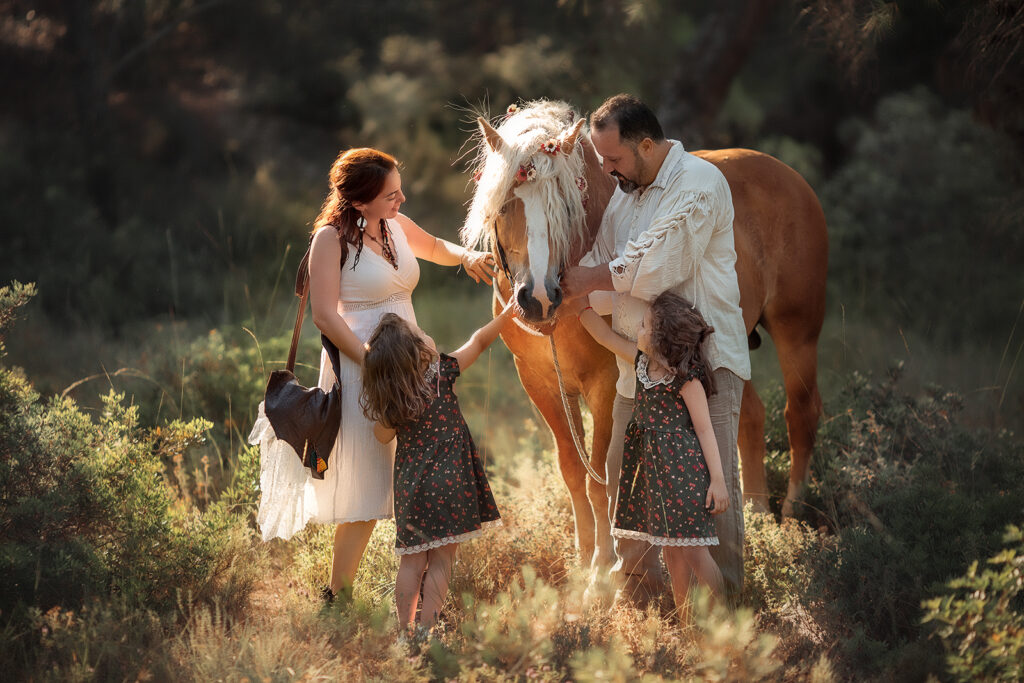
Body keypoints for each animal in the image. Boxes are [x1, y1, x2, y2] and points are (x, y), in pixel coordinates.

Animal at [460, 100, 827, 573]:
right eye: (505, 206)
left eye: (566, 207)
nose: (539, 298)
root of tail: (790, 176)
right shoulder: (539, 383)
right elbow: (573, 471)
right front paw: (582, 557)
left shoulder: (605, 385)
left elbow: (601, 478)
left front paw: (600, 567)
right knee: (748, 417)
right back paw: (759, 513)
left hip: (797, 333)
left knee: (800, 414)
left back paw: (791, 517)